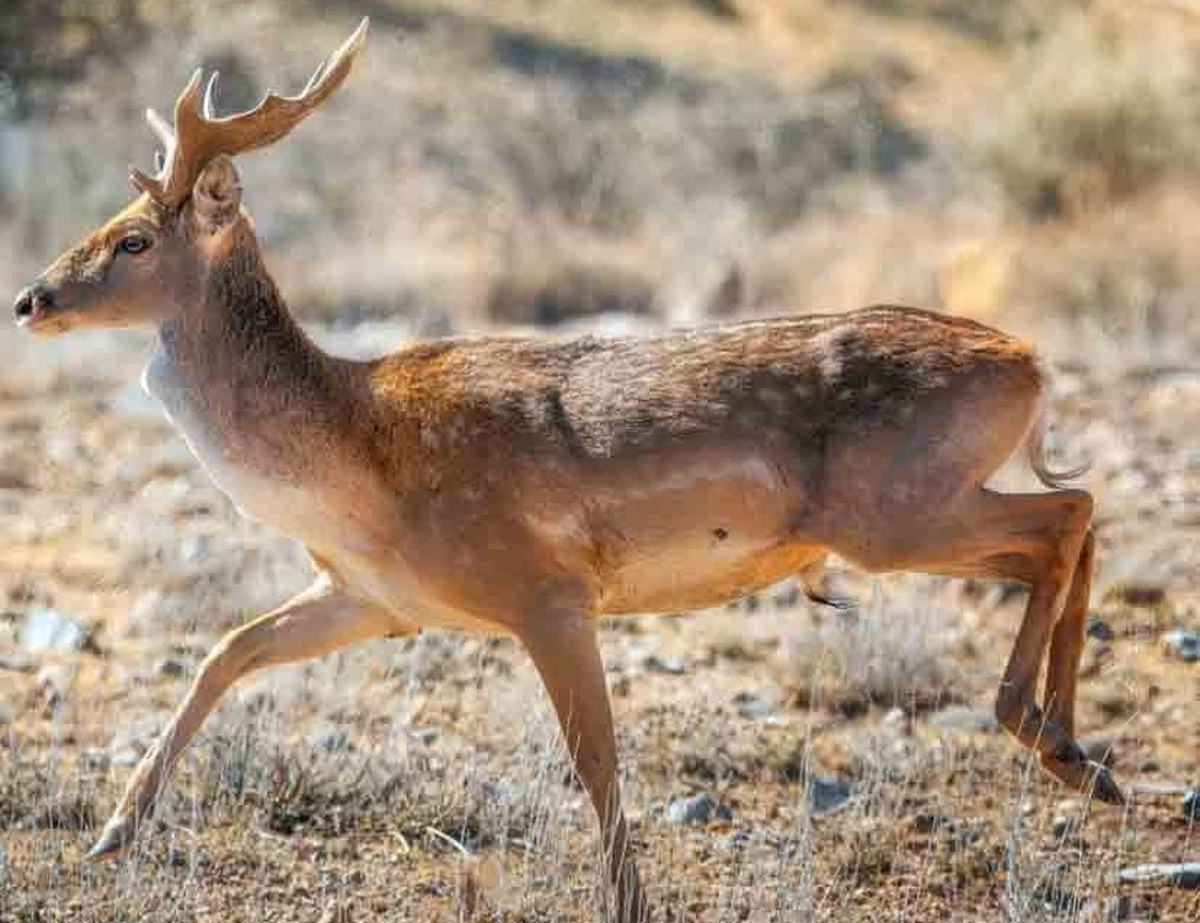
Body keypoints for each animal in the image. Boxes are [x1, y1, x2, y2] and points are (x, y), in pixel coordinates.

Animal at [14, 18, 1123, 921]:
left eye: (132, 238)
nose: (30, 298)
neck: (359, 466)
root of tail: (1033, 365)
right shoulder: (380, 599)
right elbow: (228, 647)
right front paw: (112, 831)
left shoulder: (545, 588)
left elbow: (598, 761)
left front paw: (629, 902)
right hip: (911, 506)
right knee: (1077, 509)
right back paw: (1080, 755)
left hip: (894, 509)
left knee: (1066, 513)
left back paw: (1050, 738)